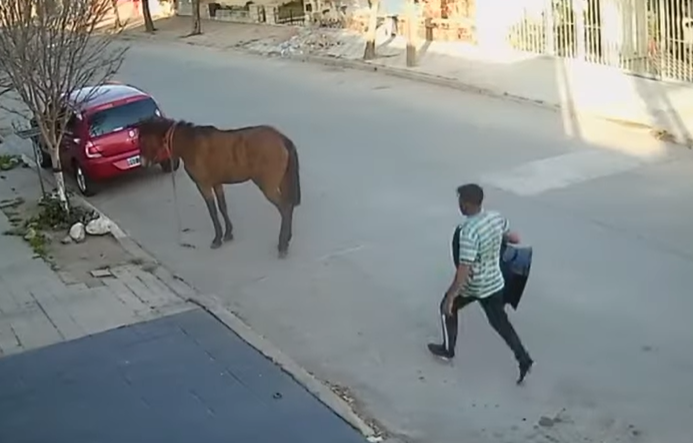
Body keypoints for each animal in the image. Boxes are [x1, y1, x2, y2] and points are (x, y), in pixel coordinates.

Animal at [137, 116, 300, 258]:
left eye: (142, 140)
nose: (143, 162)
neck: (191, 145)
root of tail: (281, 138)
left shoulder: (203, 185)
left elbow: (213, 211)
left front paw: (217, 239)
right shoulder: (217, 183)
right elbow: (222, 207)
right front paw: (228, 233)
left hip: (268, 186)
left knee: (285, 208)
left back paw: (282, 245)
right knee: (289, 206)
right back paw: (287, 239)